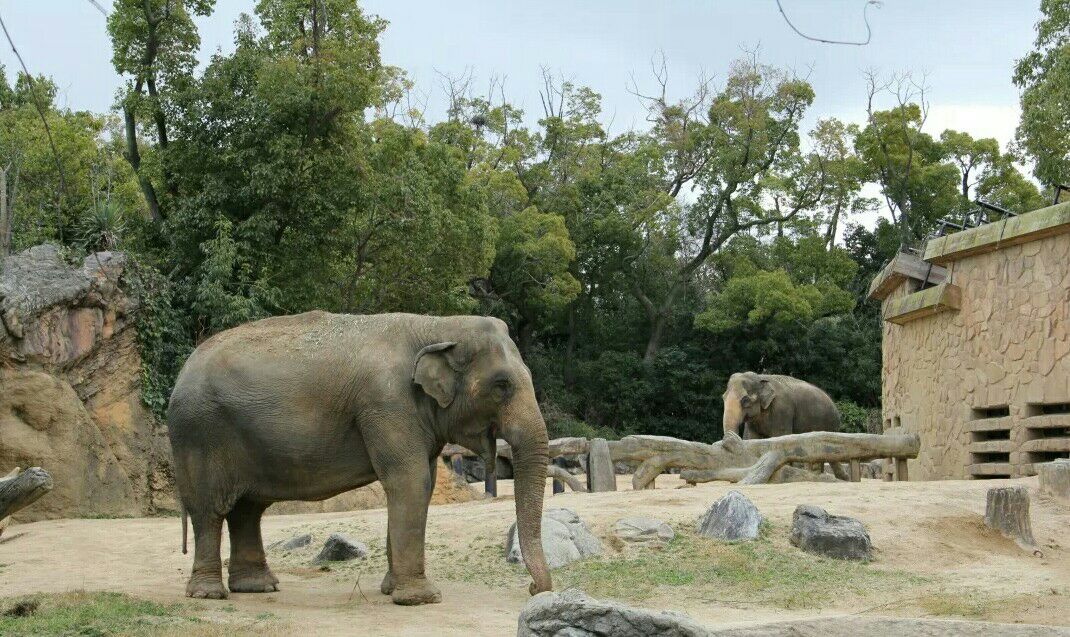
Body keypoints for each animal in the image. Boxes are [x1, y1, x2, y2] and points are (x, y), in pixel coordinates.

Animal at [169, 314, 552, 608]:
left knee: (247, 510)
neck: (438, 325)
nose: (534, 588)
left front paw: (391, 589)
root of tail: (183, 369)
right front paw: (420, 599)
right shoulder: (387, 404)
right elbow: (410, 482)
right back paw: (209, 594)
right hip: (199, 433)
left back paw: (257, 587)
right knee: (210, 511)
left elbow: (421, 485)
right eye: (501, 385)